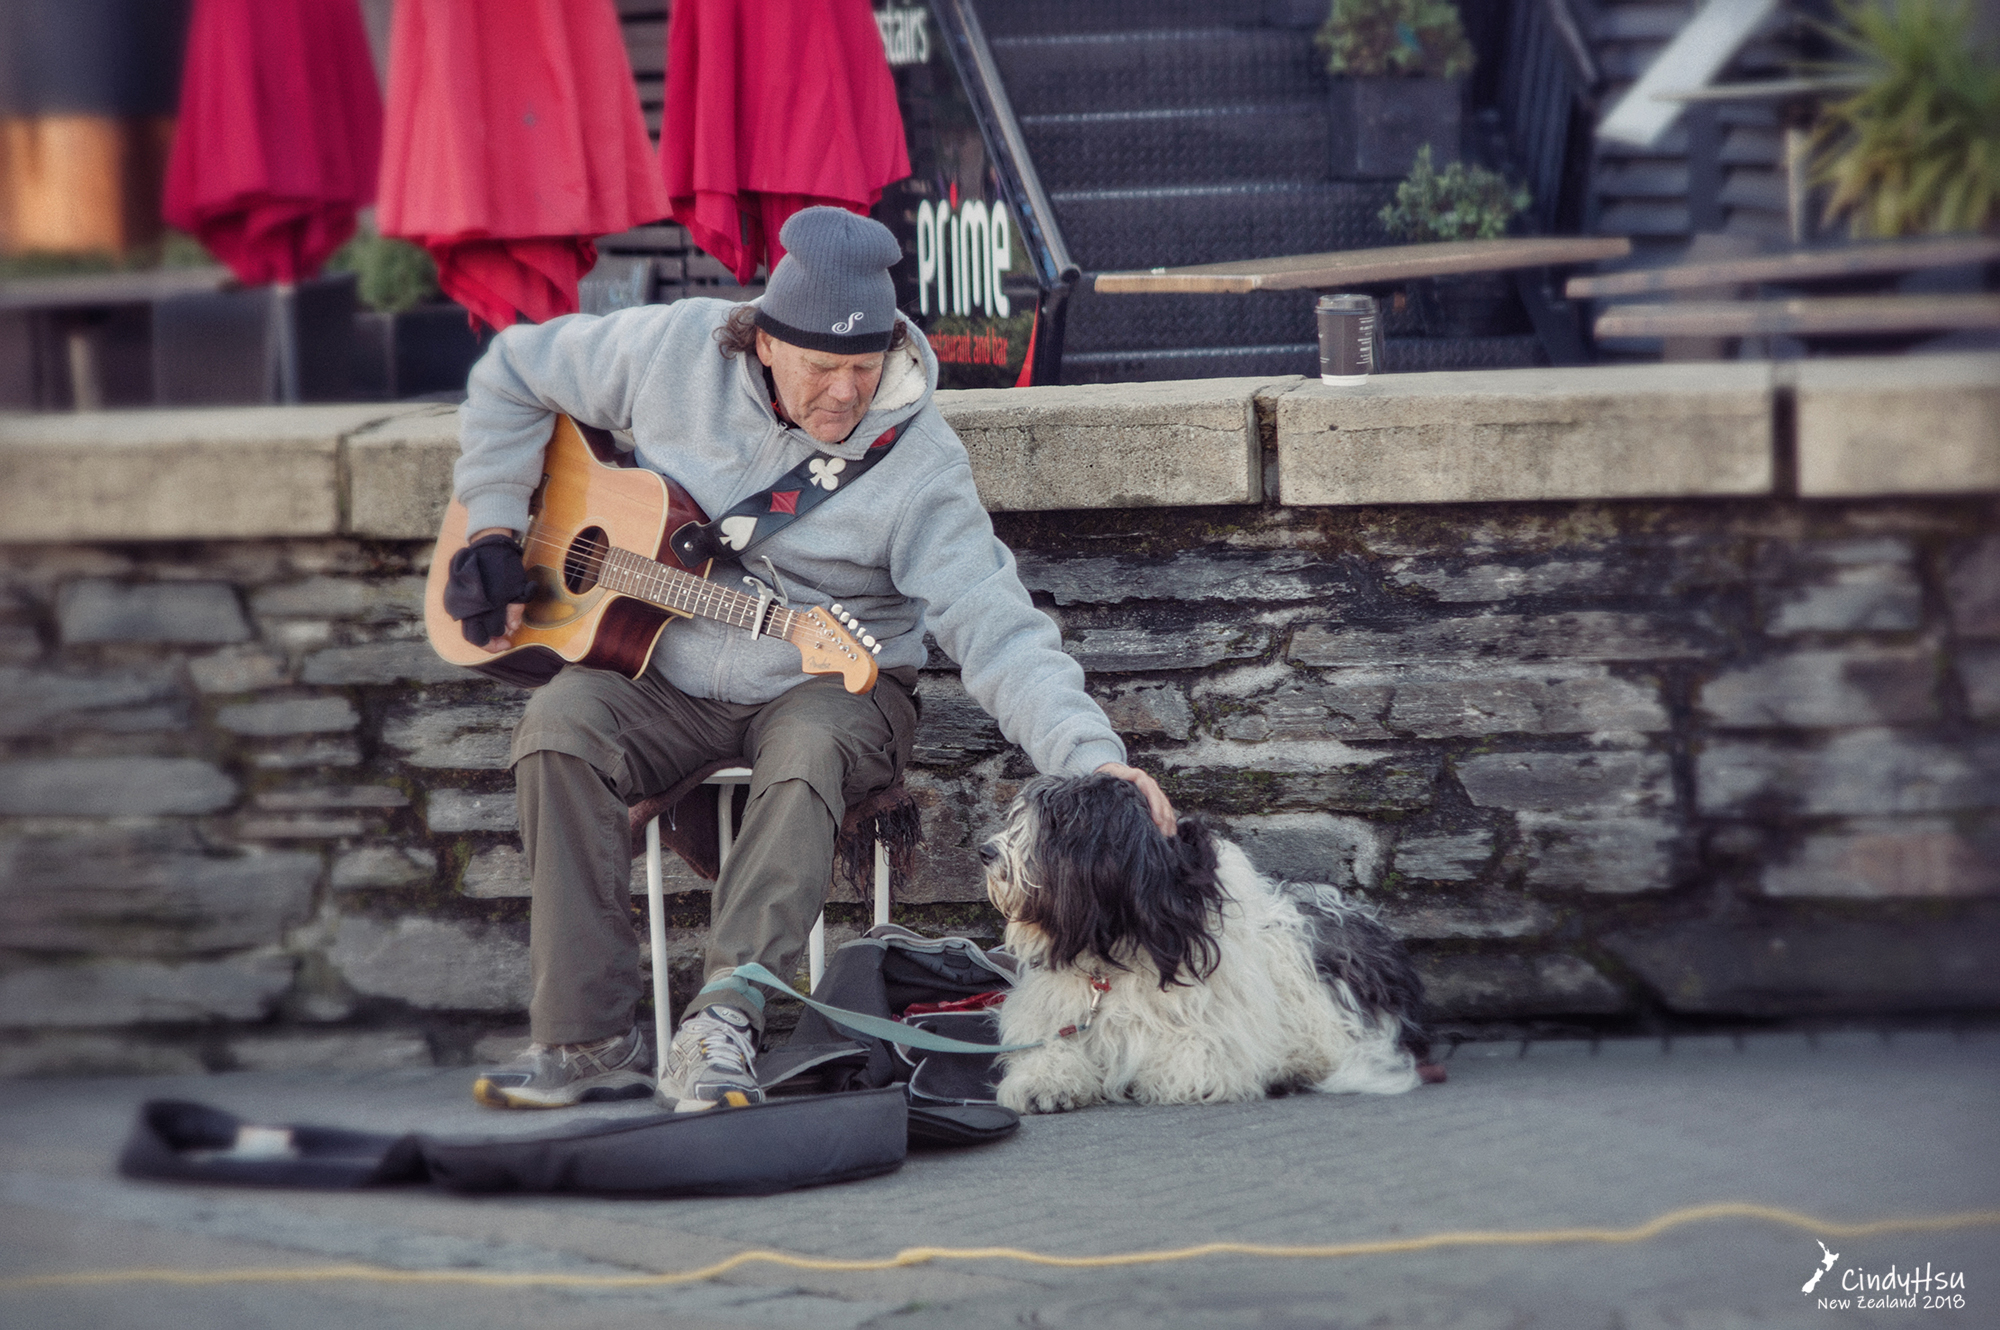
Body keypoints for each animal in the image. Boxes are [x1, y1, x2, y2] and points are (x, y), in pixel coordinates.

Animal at [976, 772, 1432, 1112]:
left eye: (1056, 822)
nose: (986, 852)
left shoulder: (1215, 1031)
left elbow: (1196, 1058)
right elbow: (1050, 1048)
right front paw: (1042, 1082)